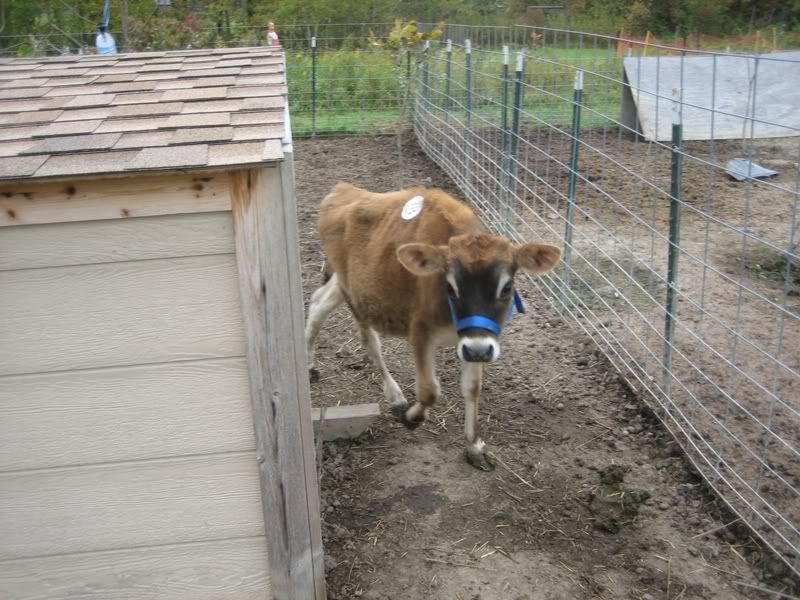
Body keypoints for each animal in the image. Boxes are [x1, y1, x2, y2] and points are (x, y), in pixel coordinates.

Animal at [305, 183, 561, 471]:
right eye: (450, 287)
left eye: (506, 288)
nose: (479, 351)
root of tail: (344, 189)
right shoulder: (420, 331)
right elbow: (429, 390)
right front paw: (410, 417)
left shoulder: (474, 341)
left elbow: (472, 388)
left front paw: (474, 446)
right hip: (354, 295)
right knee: (369, 342)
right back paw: (395, 396)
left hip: (346, 285)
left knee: (318, 303)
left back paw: (309, 364)